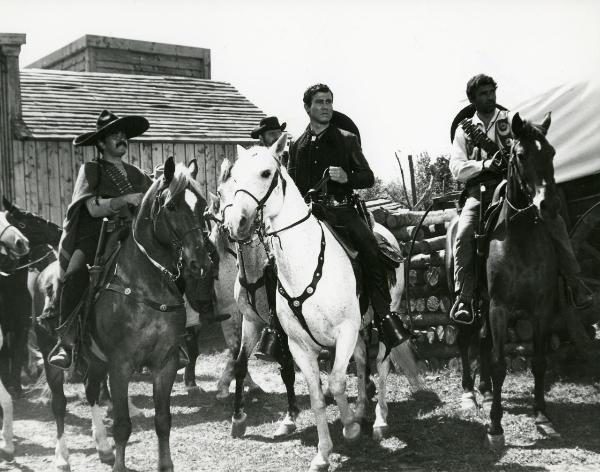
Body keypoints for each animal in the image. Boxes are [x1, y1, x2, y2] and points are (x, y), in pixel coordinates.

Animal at [225, 135, 418, 470]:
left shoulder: (344, 332)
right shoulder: (298, 346)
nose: (238, 223)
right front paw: (323, 452)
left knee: (381, 364)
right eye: (234, 177)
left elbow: (336, 383)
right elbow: (317, 395)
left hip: (383, 318)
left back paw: (379, 420)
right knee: (363, 360)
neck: (304, 265)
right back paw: (362, 409)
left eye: (266, 173)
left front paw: (350, 428)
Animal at [448, 112, 560, 448]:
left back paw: (484, 390)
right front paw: (495, 426)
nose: (548, 205)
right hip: (466, 302)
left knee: (483, 341)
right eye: (520, 155)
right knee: (466, 340)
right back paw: (470, 393)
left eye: (551, 153)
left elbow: (539, 361)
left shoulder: (542, 308)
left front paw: (542, 415)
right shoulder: (500, 307)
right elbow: (500, 365)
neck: (519, 235)